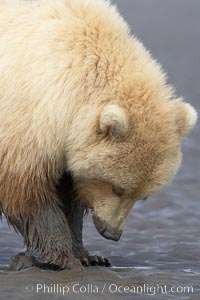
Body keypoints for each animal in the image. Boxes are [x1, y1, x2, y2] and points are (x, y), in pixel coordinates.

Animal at [0, 0, 198, 270]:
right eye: (116, 188)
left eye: (143, 196)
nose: (112, 232)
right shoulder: (26, 116)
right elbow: (29, 192)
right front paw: (63, 258)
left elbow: (69, 193)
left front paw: (89, 255)